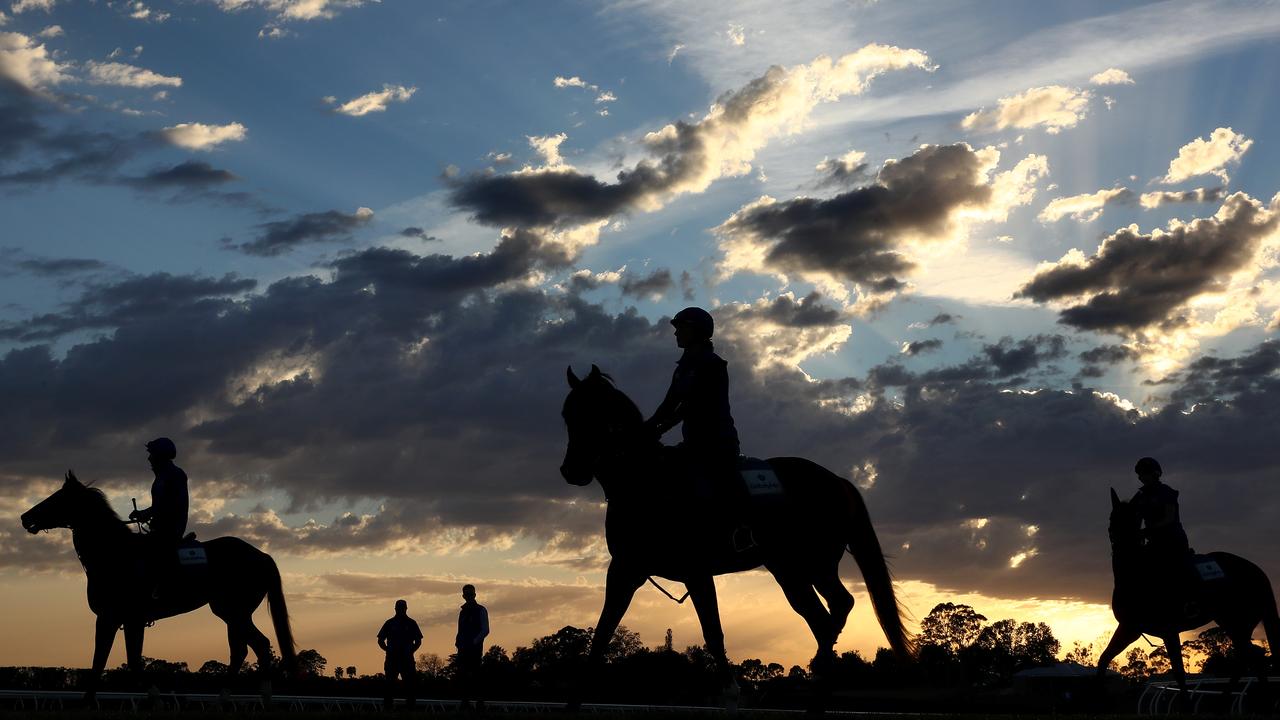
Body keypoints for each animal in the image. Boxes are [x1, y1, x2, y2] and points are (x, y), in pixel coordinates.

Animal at [23, 471, 294, 696]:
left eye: (57, 498)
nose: (25, 517)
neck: (115, 554)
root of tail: (261, 555)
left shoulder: (116, 618)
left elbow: (110, 662)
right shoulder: (124, 620)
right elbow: (119, 661)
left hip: (233, 611)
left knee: (258, 645)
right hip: (233, 614)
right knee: (243, 650)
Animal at [565, 366, 916, 696]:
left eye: (595, 413)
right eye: (567, 414)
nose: (571, 471)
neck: (649, 482)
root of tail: (837, 481)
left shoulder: (696, 572)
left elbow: (713, 632)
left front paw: (732, 692)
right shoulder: (625, 570)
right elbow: (602, 632)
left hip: (815, 565)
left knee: (838, 607)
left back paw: (820, 670)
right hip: (789, 571)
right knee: (821, 616)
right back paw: (820, 679)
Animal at [1095, 484, 1274, 691]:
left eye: (1135, 519)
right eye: (1113, 517)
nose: (1121, 546)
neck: (1138, 575)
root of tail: (1255, 570)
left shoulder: (1169, 631)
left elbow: (1180, 675)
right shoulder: (1129, 628)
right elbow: (1103, 660)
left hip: (1240, 623)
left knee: (1249, 657)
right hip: (1233, 624)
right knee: (1252, 657)